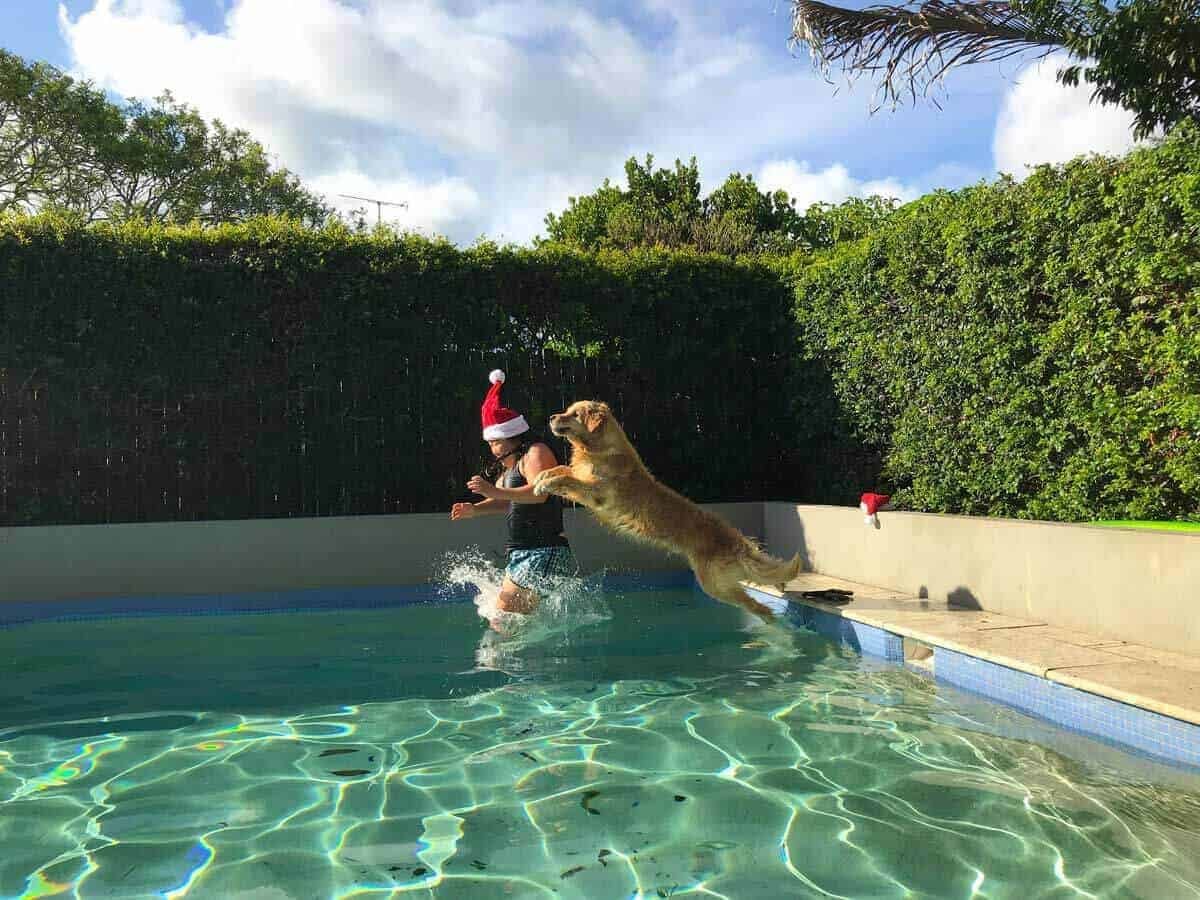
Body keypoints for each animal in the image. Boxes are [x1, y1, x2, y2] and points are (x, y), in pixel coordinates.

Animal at [532, 400, 802, 620]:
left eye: (574, 414)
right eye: (567, 410)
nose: (552, 417)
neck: (598, 449)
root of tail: (732, 541)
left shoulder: (597, 492)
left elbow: (567, 479)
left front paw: (544, 483)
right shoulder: (582, 480)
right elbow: (562, 470)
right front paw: (541, 477)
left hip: (714, 584)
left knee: (757, 605)